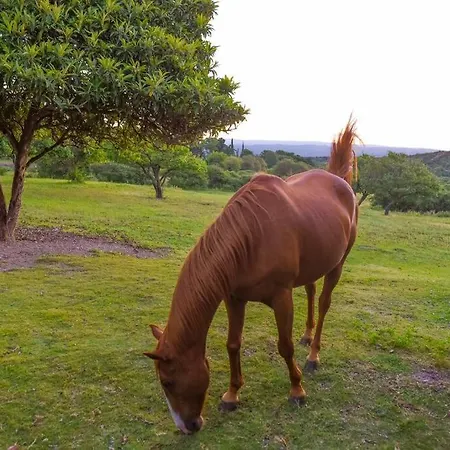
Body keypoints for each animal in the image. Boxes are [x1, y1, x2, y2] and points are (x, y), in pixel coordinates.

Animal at [145, 119, 359, 434]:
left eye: (167, 381)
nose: (187, 427)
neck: (250, 238)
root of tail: (337, 179)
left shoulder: (281, 298)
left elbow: (285, 346)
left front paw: (297, 390)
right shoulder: (234, 298)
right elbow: (233, 344)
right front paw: (232, 395)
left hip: (337, 265)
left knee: (323, 303)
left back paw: (313, 355)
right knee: (310, 291)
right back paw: (307, 336)